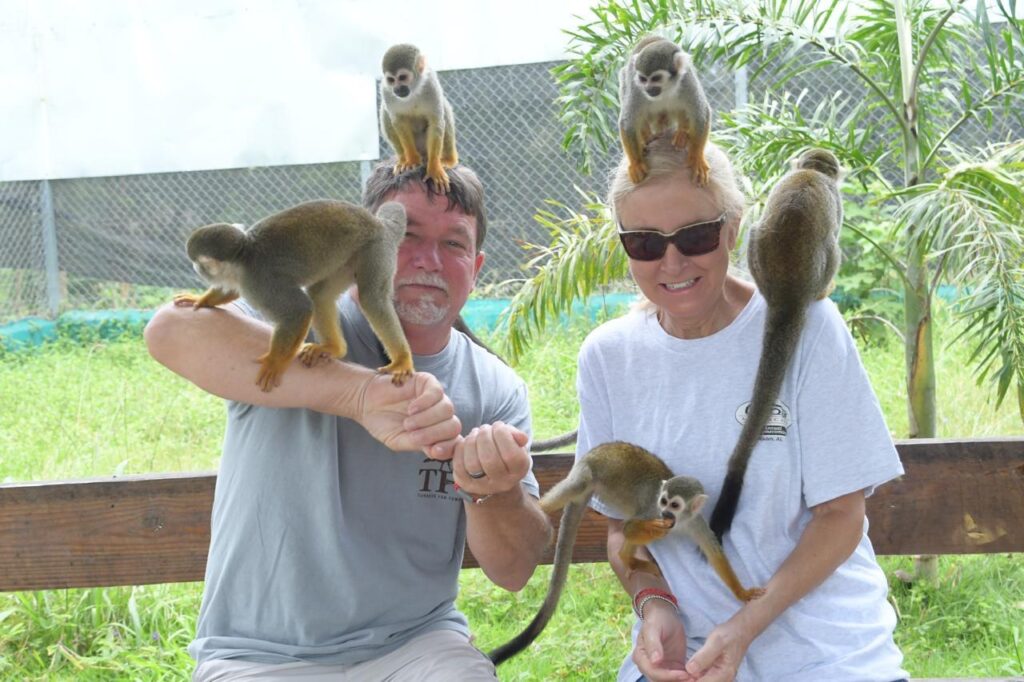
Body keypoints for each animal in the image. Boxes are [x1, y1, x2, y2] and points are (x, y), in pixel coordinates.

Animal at [173, 199, 414, 392]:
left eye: (198, 263)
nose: (195, 269)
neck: (243, 256)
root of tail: (378, 223)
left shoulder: (259, 282)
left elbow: (298, 309)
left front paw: (275, 362)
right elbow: (230, 289)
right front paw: (202, 299)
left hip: (376, 249)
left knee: (371, 297)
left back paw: (402, 360)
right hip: (349, 257)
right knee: (319, 294)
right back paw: (333, 348)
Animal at [379, 44, 459, 193]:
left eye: (402, 77)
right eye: (391, 80)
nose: (397, 89)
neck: (413, 90)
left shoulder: (431, 83)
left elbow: (436, 121)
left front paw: (434, 169)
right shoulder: (385, 90)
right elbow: (399, 121)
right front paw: (411, 160)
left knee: (444, 108)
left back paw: (448, 159)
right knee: (385, 112)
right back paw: (403, 159)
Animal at [488, 441, 762, 665]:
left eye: (675, 505)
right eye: (663, 501)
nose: (665, 514)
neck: (678, 522)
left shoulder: (697, 522)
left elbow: (714, 553)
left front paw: (742, 593)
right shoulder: (651, 510)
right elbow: (632, 527)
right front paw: (655, 530)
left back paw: (626, 558)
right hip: (588, 469)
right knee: (582, 487)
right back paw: (534, 508)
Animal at [618, 35, 711, 186]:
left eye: (656, 78)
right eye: (643, 79)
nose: (648, 89)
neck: (666, 88)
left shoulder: (686, 79)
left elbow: (701, 114)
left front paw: (697, 158)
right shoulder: (636, 87)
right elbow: (628, 122)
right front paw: (636, 164)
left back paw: (682, 132)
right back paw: (646, 137)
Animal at [708, 148, 844, 543]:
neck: (813, 172)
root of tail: (788, 291)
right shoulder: (836, 198)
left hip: (759, 252)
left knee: (756, 231)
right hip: (819, 266)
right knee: (832, 245)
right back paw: (824, 290)